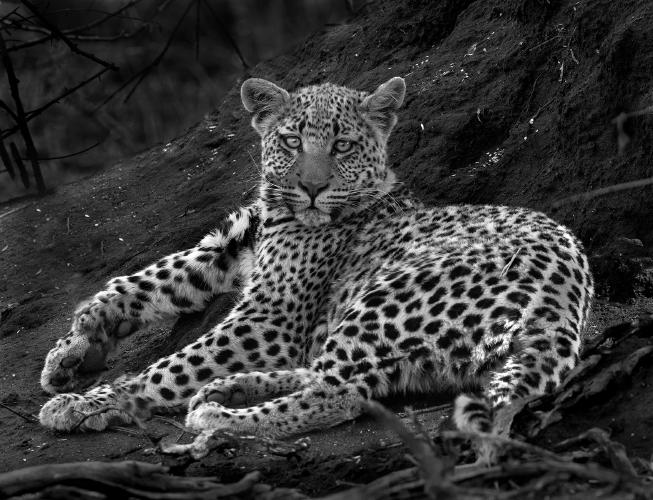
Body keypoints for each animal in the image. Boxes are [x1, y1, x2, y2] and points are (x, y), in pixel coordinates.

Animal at [39, 76, 594, 456]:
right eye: (290, 141)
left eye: (342, 145)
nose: (310, 187)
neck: (278, 208)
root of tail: (563, 302)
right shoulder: (226, 246)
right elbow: (136, 283)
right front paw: (71, 352)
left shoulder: (268, 318)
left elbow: (170, 367)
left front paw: (87, 403)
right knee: (337, 378)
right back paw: (225, 391)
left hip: (386, 295)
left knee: (338, 394)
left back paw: (216, 414)